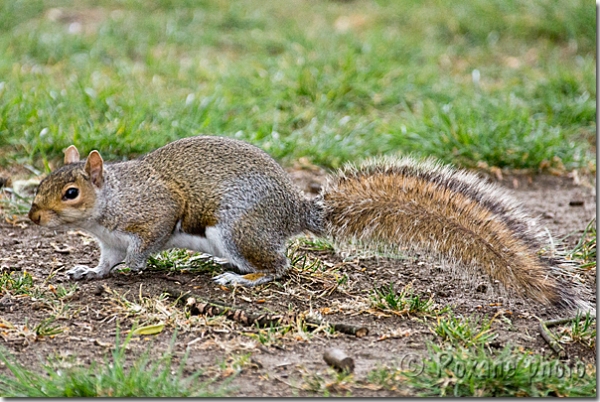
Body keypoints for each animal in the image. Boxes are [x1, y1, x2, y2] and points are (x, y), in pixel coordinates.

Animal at [28, 135, 592, 310]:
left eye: (71, 192)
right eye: (41, 183)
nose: (32, 217)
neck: (109, 204)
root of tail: (296, 210)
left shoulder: (154, 211)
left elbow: (148, 242)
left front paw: (136, 268)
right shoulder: (107, 240)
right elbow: (105, 262)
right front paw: (88, 272)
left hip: (237, 230)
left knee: (280, 264)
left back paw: (242, 278)